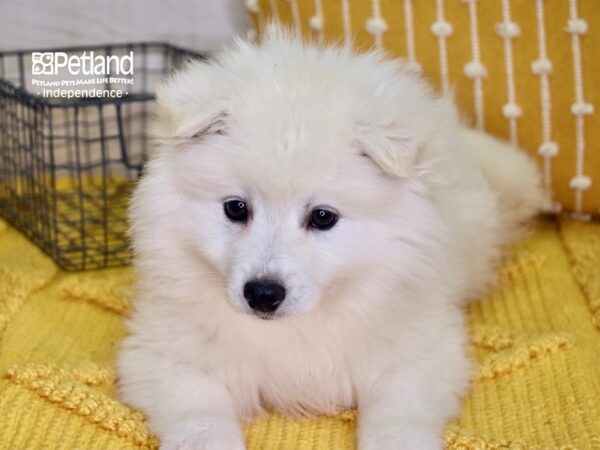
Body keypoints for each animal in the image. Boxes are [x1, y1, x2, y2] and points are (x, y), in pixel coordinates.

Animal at [117, 27, 544, 450]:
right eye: (236, 208)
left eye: (323, 217)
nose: (263, 295)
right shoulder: (167, 355)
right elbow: (202, 421)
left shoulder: (419, 355)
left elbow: (395, 421)